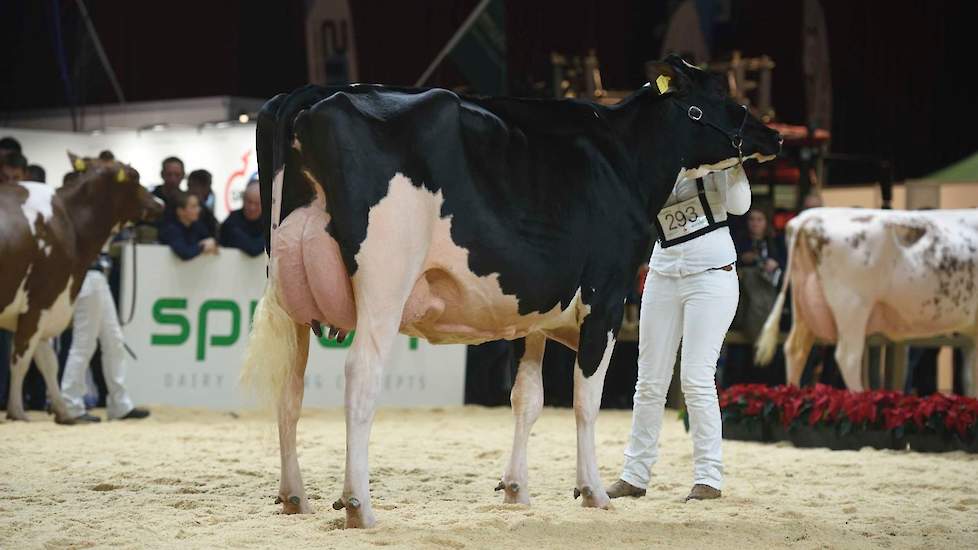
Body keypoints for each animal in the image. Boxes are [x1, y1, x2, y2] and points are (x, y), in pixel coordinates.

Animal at [0, 155, 163, 422]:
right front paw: (17, 411)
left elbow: (48, 362)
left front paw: (63, 412)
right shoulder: (39, 303)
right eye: (135, 177)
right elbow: (21, 360)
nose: (160, 204)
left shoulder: (51, 307)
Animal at [242, 55, 776, 532]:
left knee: (289, 388)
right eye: (719, 92)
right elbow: (586, 400)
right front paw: (593, 491)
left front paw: (516, 488)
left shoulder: (532, 313)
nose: (773, 135)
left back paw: (294, 497)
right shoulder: (604, 300)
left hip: (289, 295)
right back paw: (359, 506)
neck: (623, 157)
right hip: (383, 283)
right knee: (360, 379)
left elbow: (528, 397)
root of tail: (309, 94)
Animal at [756, 206, 976, 392]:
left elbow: (970, 376)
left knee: (796, 350)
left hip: (803, 305)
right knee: (848, 357)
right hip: (853, 305)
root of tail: (812, 216)